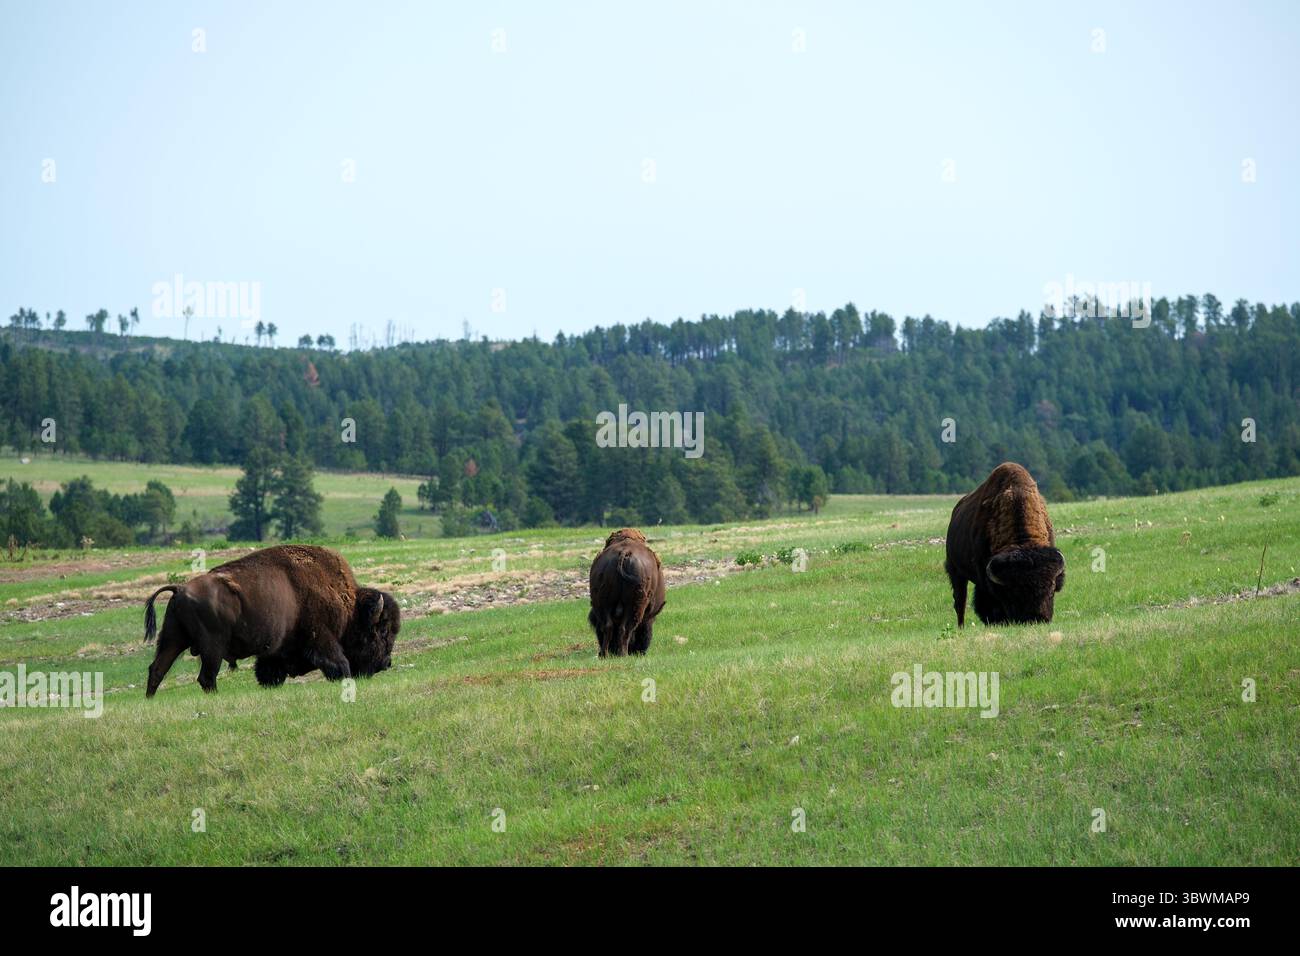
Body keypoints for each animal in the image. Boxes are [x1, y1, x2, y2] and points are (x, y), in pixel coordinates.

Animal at [143, 544, 399, 696]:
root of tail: (180, 589)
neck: (349, 604)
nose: (386, 663)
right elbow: (339, 663)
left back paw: (150, 699)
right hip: (211, 647)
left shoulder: (275, 651)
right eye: (382, 631)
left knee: (157, 669)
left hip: (173, 638)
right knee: (206, 676)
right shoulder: (322, 637)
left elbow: (268, 670)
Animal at [588, 528, 666, 656]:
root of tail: (624, 552)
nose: (641, 651)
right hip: (634, 606)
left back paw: (604, 654)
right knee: (626, 629)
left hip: (603, 604)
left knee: (608, 626)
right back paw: (623, 653)